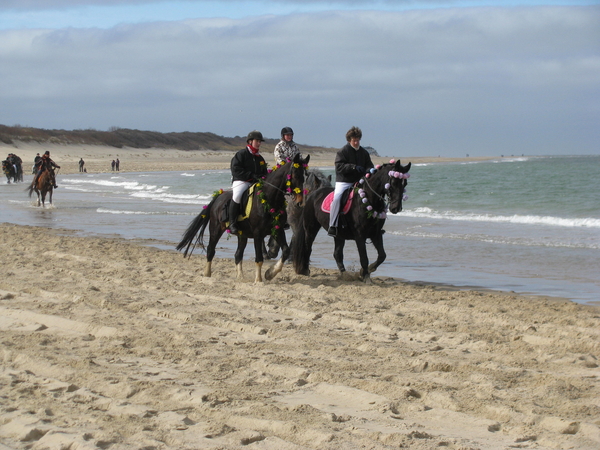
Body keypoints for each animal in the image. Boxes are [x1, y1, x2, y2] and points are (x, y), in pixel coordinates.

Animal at [176, 153, 310, 284]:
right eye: (295, 175)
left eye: (306, 176)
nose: (300, 203)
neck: (268, 199)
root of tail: (218, 197)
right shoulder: (258, 233)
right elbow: (259, 258)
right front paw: (258, 280)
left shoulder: (277, 229)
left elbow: (286, 251)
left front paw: (270, 273)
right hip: (215, 229)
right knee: (211, 250)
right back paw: (207, 274)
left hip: (242, 235)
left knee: (237, 255)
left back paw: (240, 277)